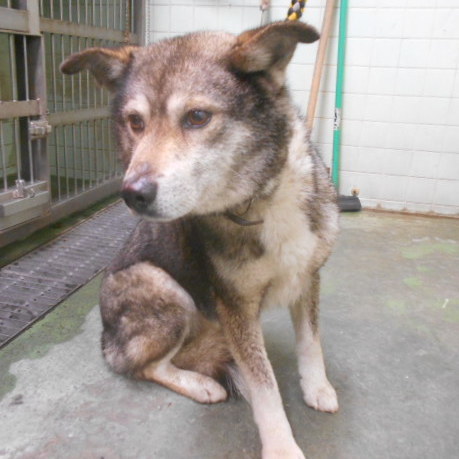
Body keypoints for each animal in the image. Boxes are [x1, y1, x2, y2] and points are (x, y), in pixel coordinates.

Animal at [61, 21, 340, 459]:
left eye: (197, 117)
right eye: (135, 122)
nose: (132, 194)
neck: (260, 198)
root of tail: (107, 339)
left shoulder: (307, 275)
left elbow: (311, 341)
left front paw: (317, 387)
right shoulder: (235, 304)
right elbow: (265, 387)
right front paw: (281, 446)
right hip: (161, 286)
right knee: (144, 365)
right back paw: (201, 384)